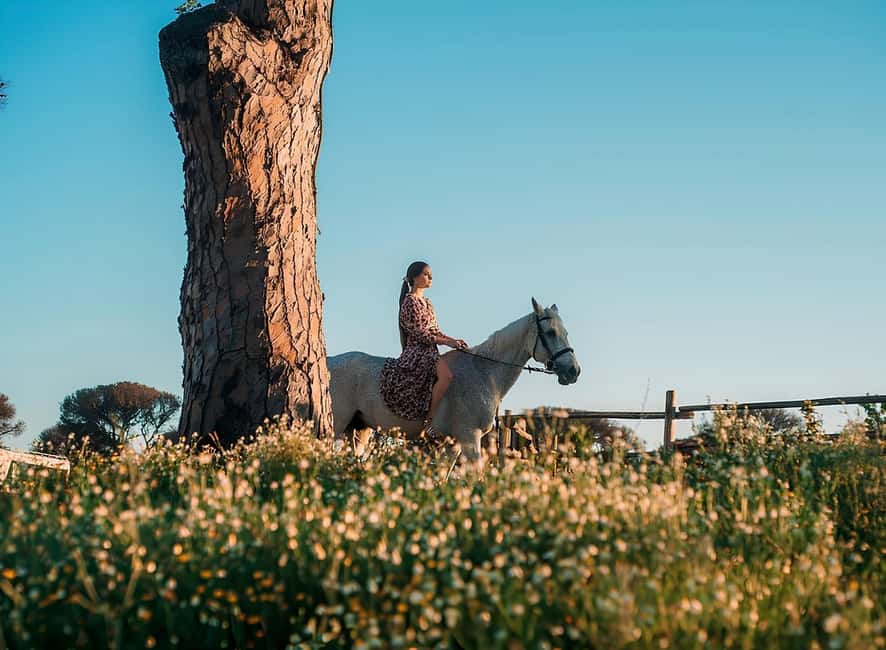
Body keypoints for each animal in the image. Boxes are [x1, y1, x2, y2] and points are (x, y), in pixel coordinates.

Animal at [327, 297, 581, 470]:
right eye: (550, 332)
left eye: (566, 332)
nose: (573, 371)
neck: (483, 372)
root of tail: (329, 360)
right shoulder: (470, 436)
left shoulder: (454, 443)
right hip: (337, 426)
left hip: (359, 430)